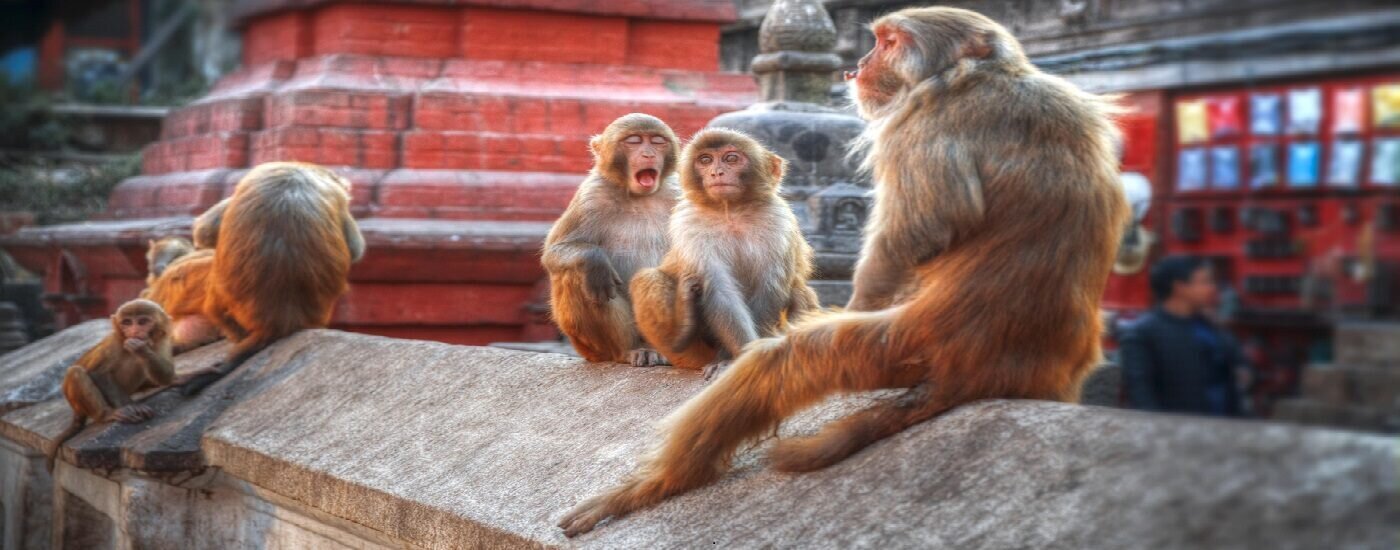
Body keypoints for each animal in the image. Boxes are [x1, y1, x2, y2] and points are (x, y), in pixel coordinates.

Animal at [45, 298, 175, 470]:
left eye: (142, 322)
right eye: (127, 322)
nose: (134, 331)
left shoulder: (162, 339)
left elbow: (166, 376)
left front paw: (142, 349)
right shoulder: (114, 343)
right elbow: (98, 373)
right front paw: (130, 407)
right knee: (76, 372)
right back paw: (107, 413)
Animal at [540, 111, 683, 366]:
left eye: (657, 141)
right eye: (634, 141)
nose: (648, 154)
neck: (639, 196)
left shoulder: (678, 195)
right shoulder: (591, 197)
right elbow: (555, 251)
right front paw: (593, 259)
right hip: (588, 344)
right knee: (577, 274)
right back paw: (630, 350)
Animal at [557, 6, 1125, 534]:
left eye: (889, 42)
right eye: (707, 160)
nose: (860, 64)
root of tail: (990, 371)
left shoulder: (913, 124)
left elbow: (900, 238)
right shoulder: (696, 221)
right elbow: (716, 282)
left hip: (910, 342)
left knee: (784, 355)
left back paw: (649, 483)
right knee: (653, 280)